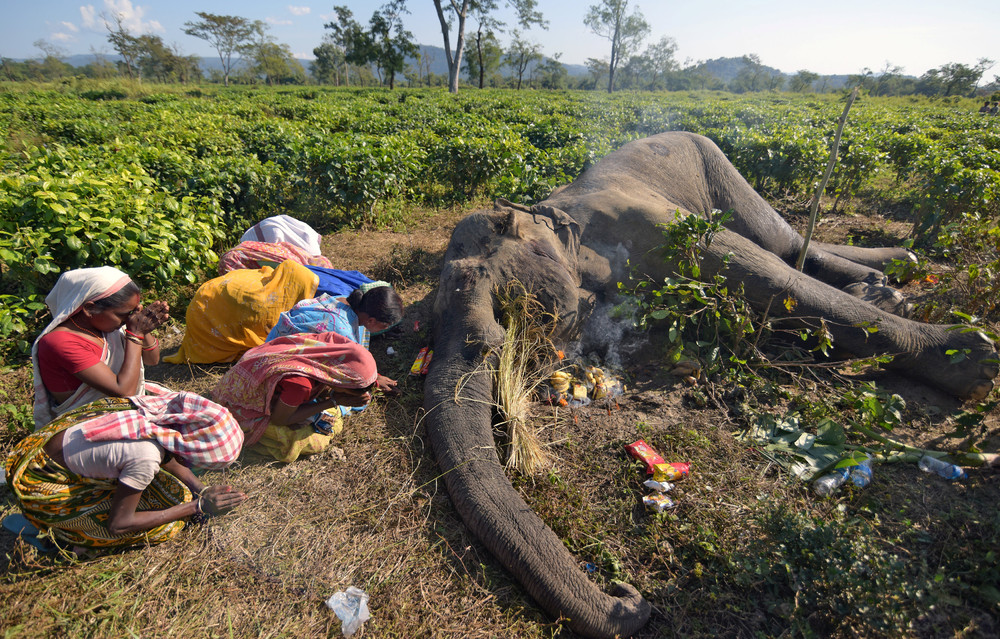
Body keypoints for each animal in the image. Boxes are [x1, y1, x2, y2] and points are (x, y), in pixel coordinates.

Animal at [420, 131, 992, 639]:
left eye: (504, 312)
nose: (624, 591)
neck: (547, 214)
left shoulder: (652, 223)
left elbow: (762, 275)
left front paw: (975, 362)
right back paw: (887, 282)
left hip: (718, 165)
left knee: (784, 245)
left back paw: (902, 284)